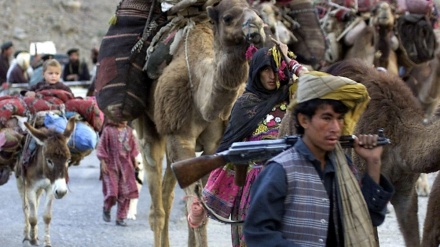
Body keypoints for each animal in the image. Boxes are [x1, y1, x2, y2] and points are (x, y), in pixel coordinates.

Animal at [15, 116, 75, 247]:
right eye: (49, 160)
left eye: (68, 160)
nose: (62, 192)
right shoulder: (30, 187)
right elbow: (32, 217)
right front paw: (32, 239)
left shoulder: (50, 188)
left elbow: (47, 217)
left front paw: (46, 242)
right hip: (20, 182)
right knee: (26, 208)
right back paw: (27, 236)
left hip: (40, 189)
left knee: (35, 205)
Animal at [131, 0, 266, 246]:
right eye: (228, 18)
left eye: (257, 13)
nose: (257, 29)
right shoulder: (179, 135)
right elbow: (196, 208)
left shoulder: (213, 145)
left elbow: (198, 206)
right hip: (149, 126)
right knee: (157, 205)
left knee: (167, 195)